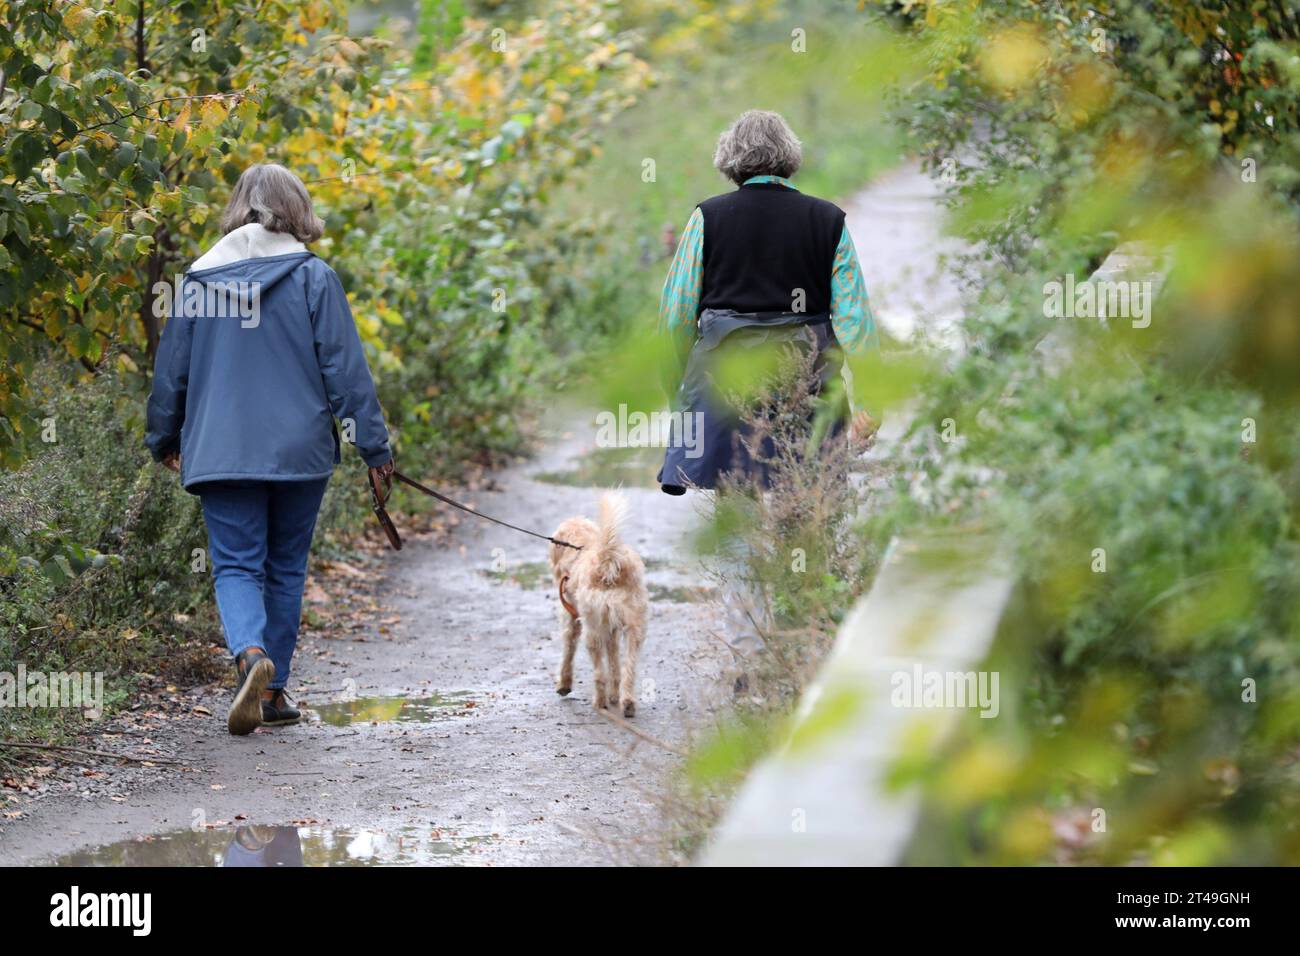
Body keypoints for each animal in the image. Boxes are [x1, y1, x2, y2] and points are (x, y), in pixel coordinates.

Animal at [548, 496, 650, 712]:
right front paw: (614, 695)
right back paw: (627, 702)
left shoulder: (571, 620)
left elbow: (568, 651)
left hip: (592, 631)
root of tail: (607, 559)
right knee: (628, 668)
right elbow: (614, 663)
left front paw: (564, 685)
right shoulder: (612, 629)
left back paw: (600, 702)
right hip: (634, 627)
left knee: (599, 673)